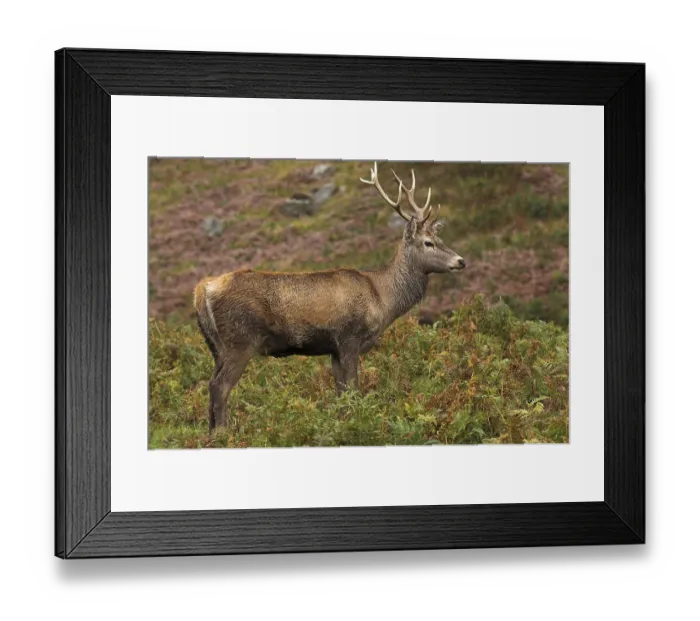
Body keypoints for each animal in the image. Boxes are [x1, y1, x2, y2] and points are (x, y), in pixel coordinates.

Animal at [194, 163, 466, 432]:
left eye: (440, 238)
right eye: (428, 242)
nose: (461, 260)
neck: (382, 298)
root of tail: (203, 289)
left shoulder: (333, 349)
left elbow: (341, 393)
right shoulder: (349, 337)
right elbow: (353, 388)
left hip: (217, 346)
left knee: (210, 383)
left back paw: (210, 434)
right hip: (240, 340)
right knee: (220, 386)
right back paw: (223, 434)